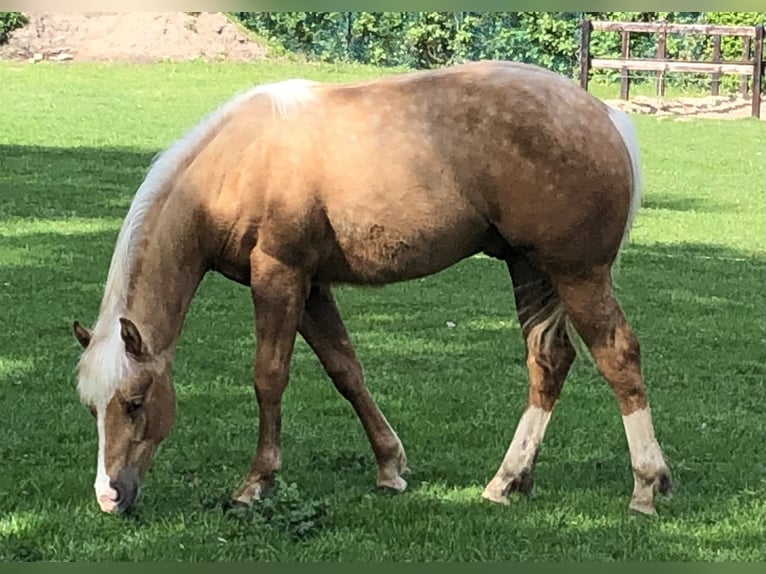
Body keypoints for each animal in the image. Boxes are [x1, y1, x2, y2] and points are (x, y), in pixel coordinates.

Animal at [72, 60, 671, 517]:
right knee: (549, 361)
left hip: (578, 274)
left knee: (619, 357)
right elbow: (346, 370)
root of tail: (606, 116)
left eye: (135, 402)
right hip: (530, 270)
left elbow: (269, 378)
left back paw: (646, 486)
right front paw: (390, 466)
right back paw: (507, 481)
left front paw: (254, 484)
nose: (108, 496)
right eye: (90, 407)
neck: (234, 164)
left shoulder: (279, 277)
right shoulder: (311, 287)